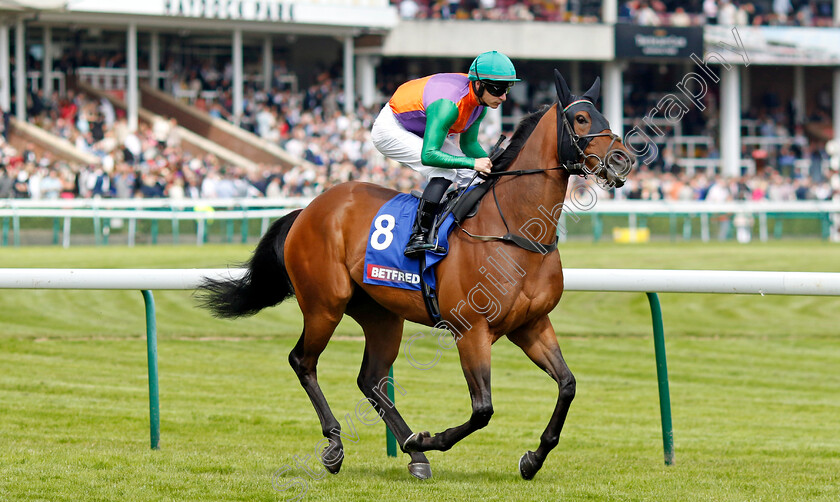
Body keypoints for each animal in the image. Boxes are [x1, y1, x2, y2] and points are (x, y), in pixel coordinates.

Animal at [197, 70, 632, 482]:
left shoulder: (532, 324)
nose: (621, 160)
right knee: (303, 361)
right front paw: (429, 438)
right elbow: (482, 409)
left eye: (606, 118)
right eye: (580, 119)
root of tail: (308, 209)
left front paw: (532, 459)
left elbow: (567, 385)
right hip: (325, 304)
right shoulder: (471, 331)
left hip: (381, 315)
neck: (515, 231)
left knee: (370, 380)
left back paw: (413, 454)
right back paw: (338, 445)